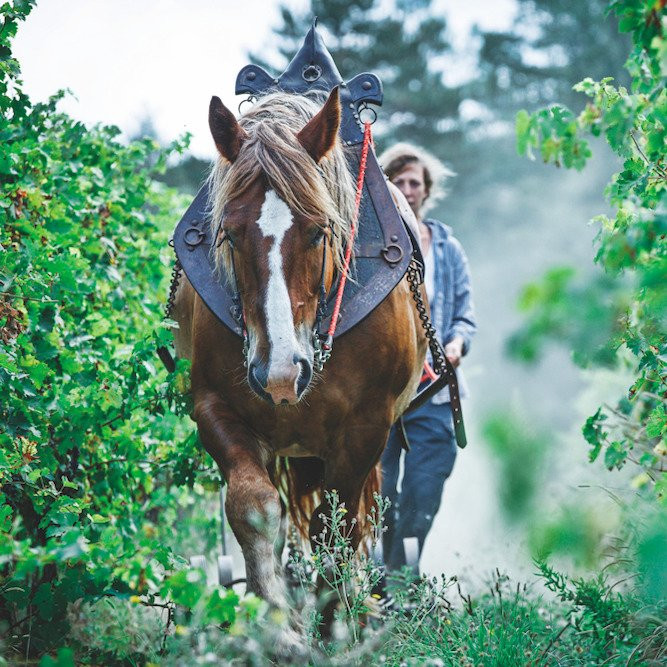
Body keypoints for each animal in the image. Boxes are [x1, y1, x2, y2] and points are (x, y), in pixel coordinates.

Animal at [170, 86, 426, 644]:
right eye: (229, 234)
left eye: (317, 231)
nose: (281, 374)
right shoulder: (215, 408)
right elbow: (255, 507)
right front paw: (276, 625)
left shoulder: (366, 429)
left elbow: (339, 531)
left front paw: (335, 629)